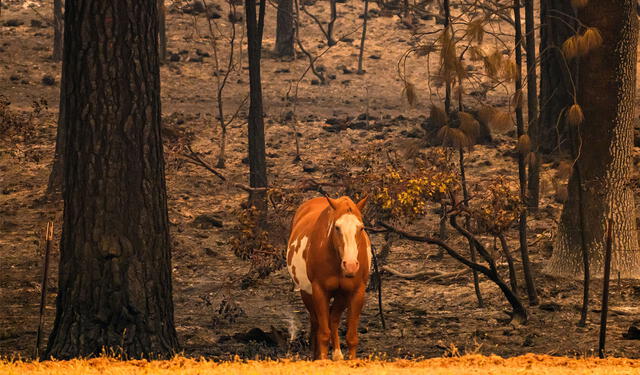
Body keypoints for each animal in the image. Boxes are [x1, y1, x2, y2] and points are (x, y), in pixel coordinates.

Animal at [286, 195, 370, 360]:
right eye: (337, 227)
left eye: (361, 228)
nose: (350, 265)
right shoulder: (320, 291)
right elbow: (323, 334)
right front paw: (322, 359)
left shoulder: (356, 292)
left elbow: (351, 336)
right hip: (307, 293)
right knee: (316, 322)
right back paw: (316, 355)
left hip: (341, 296)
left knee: (333, 319)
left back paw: (337, 355)